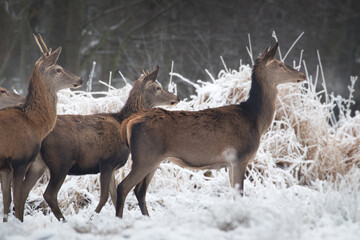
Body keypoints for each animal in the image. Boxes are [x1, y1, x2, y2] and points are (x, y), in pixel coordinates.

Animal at [0, 33, 82, 221]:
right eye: (58, 69)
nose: (80, 79)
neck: (34, 122)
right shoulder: (20, 159)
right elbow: (18, 197)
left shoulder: (6, 167)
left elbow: (7, 200)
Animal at [18, 65, 180, 221]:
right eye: (158, 87)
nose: (176, 97)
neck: (122, 123)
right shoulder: (106, 162)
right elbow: (104, 197)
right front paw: (92, 217)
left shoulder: (113, 166)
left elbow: (114, 196)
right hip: (61, 162)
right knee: (49, 194)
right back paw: (63, 220)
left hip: (40, 163)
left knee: (23, 190)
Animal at [115, 42, 306, 218]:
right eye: (280, 64)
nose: (302, 74)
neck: (255, 120)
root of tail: (129, 121)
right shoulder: (239, 156)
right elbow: (239, 195)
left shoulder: (230, 162)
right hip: (145, 156)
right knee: (123, 186)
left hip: (155, 158)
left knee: (139, 190)